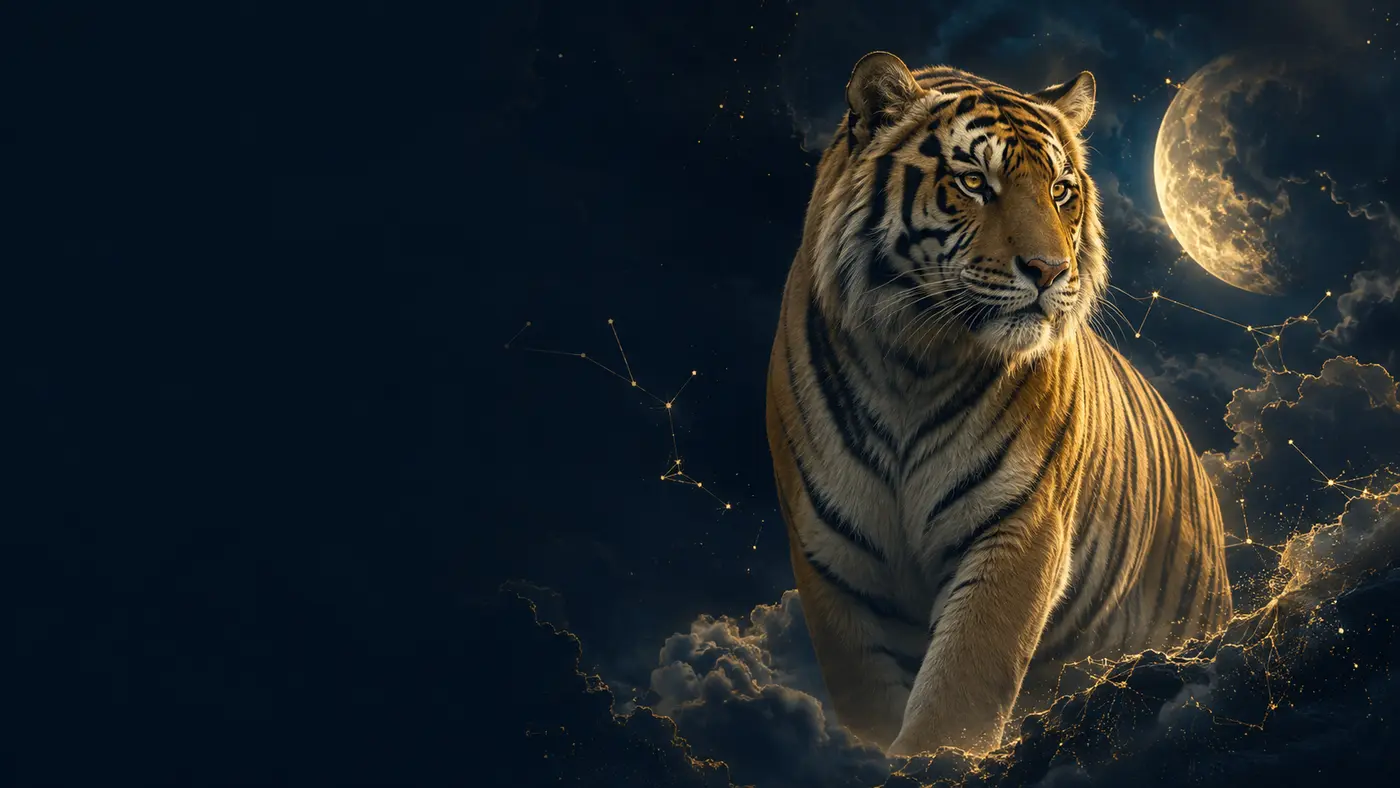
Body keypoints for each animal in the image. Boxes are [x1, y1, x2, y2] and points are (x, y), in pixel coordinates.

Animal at [764, 52, 1233, 757]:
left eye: (1061, 191)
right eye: (973, 182)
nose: (1049, 270)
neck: (913, 362)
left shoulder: (1019, 528)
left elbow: (961, 691)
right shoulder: (832, 557)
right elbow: (870, 695)